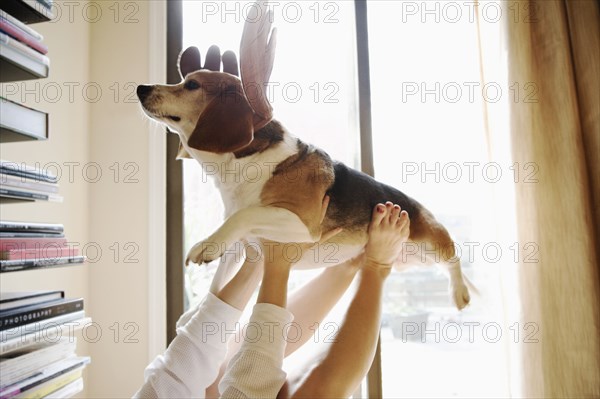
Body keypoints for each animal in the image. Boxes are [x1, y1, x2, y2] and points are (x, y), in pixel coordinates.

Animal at [137, 1, 474, 310]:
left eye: (192, 84)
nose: (141, 87)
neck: (241, 164)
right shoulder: (247, 244)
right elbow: (229, 252)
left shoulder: (303, 221)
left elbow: (246, 214)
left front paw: (206, 245)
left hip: (434, 241)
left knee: (455, 258)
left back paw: (460, 293)